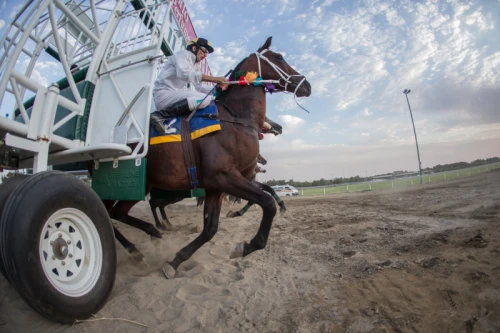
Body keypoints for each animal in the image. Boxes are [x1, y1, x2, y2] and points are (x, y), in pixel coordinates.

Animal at [100, 36, 308, 276]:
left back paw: (149, 237)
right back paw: (139, 244)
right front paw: (248, 245)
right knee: (110, 212)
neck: (234, 119)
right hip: (115, 182)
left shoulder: (216, 186)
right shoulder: (223, 176)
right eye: (279, 57)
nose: (307, 85)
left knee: (118, 213)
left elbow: (211, 228)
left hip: (143, 184)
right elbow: (267, 202)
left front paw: (175, 261)